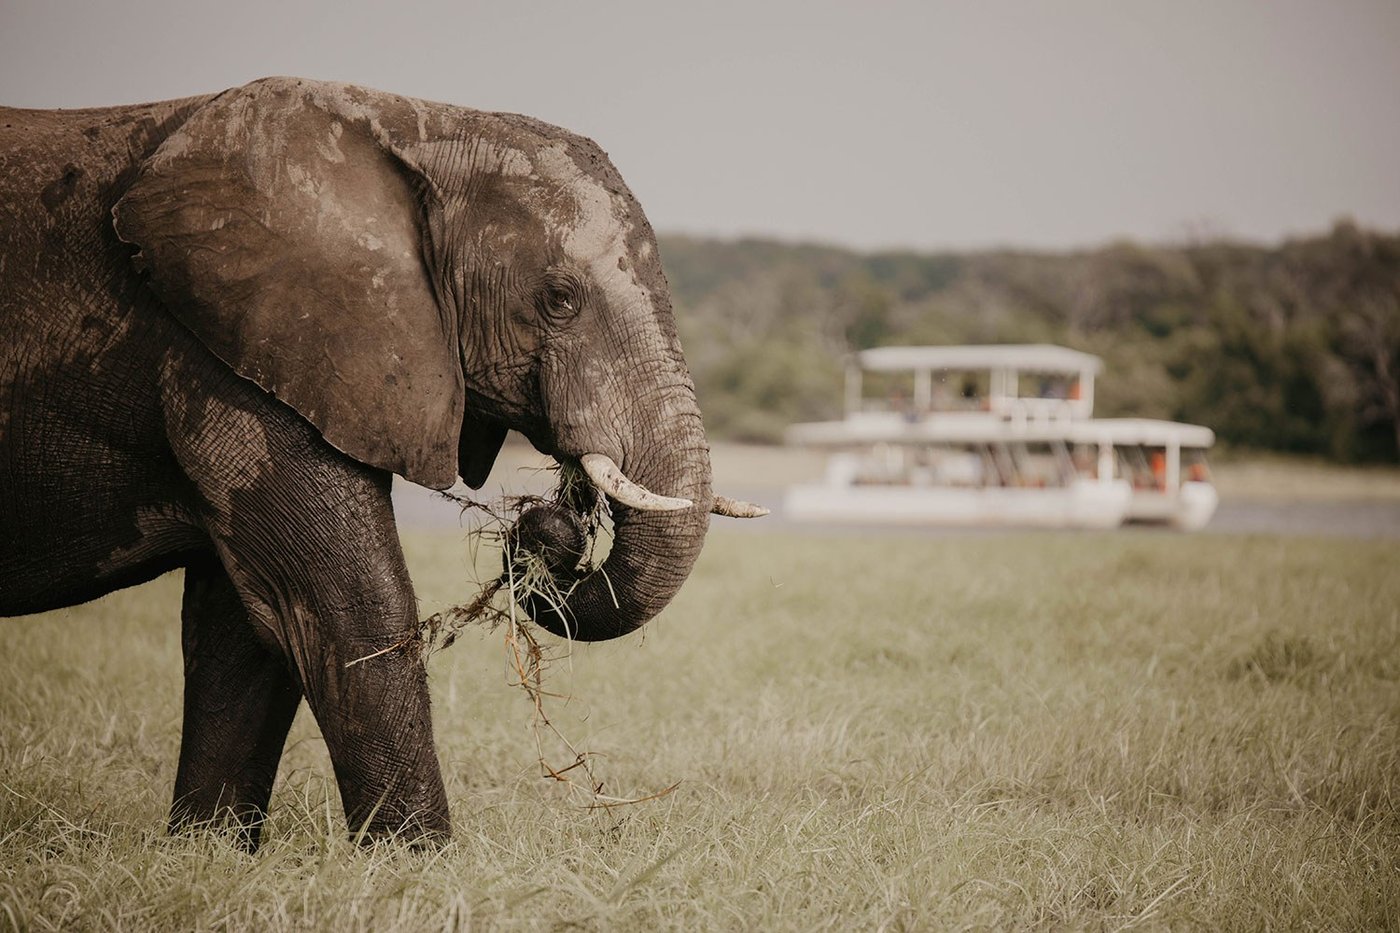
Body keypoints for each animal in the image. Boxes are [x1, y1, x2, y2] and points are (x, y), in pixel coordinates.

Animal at [0, 77, 763, 848]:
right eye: (559, 299)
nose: (548, 525)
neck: (416, 125)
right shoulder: (235, 350)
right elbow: (344, 599)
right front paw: (417, 858)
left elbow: (249, 625)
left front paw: (206, 851)